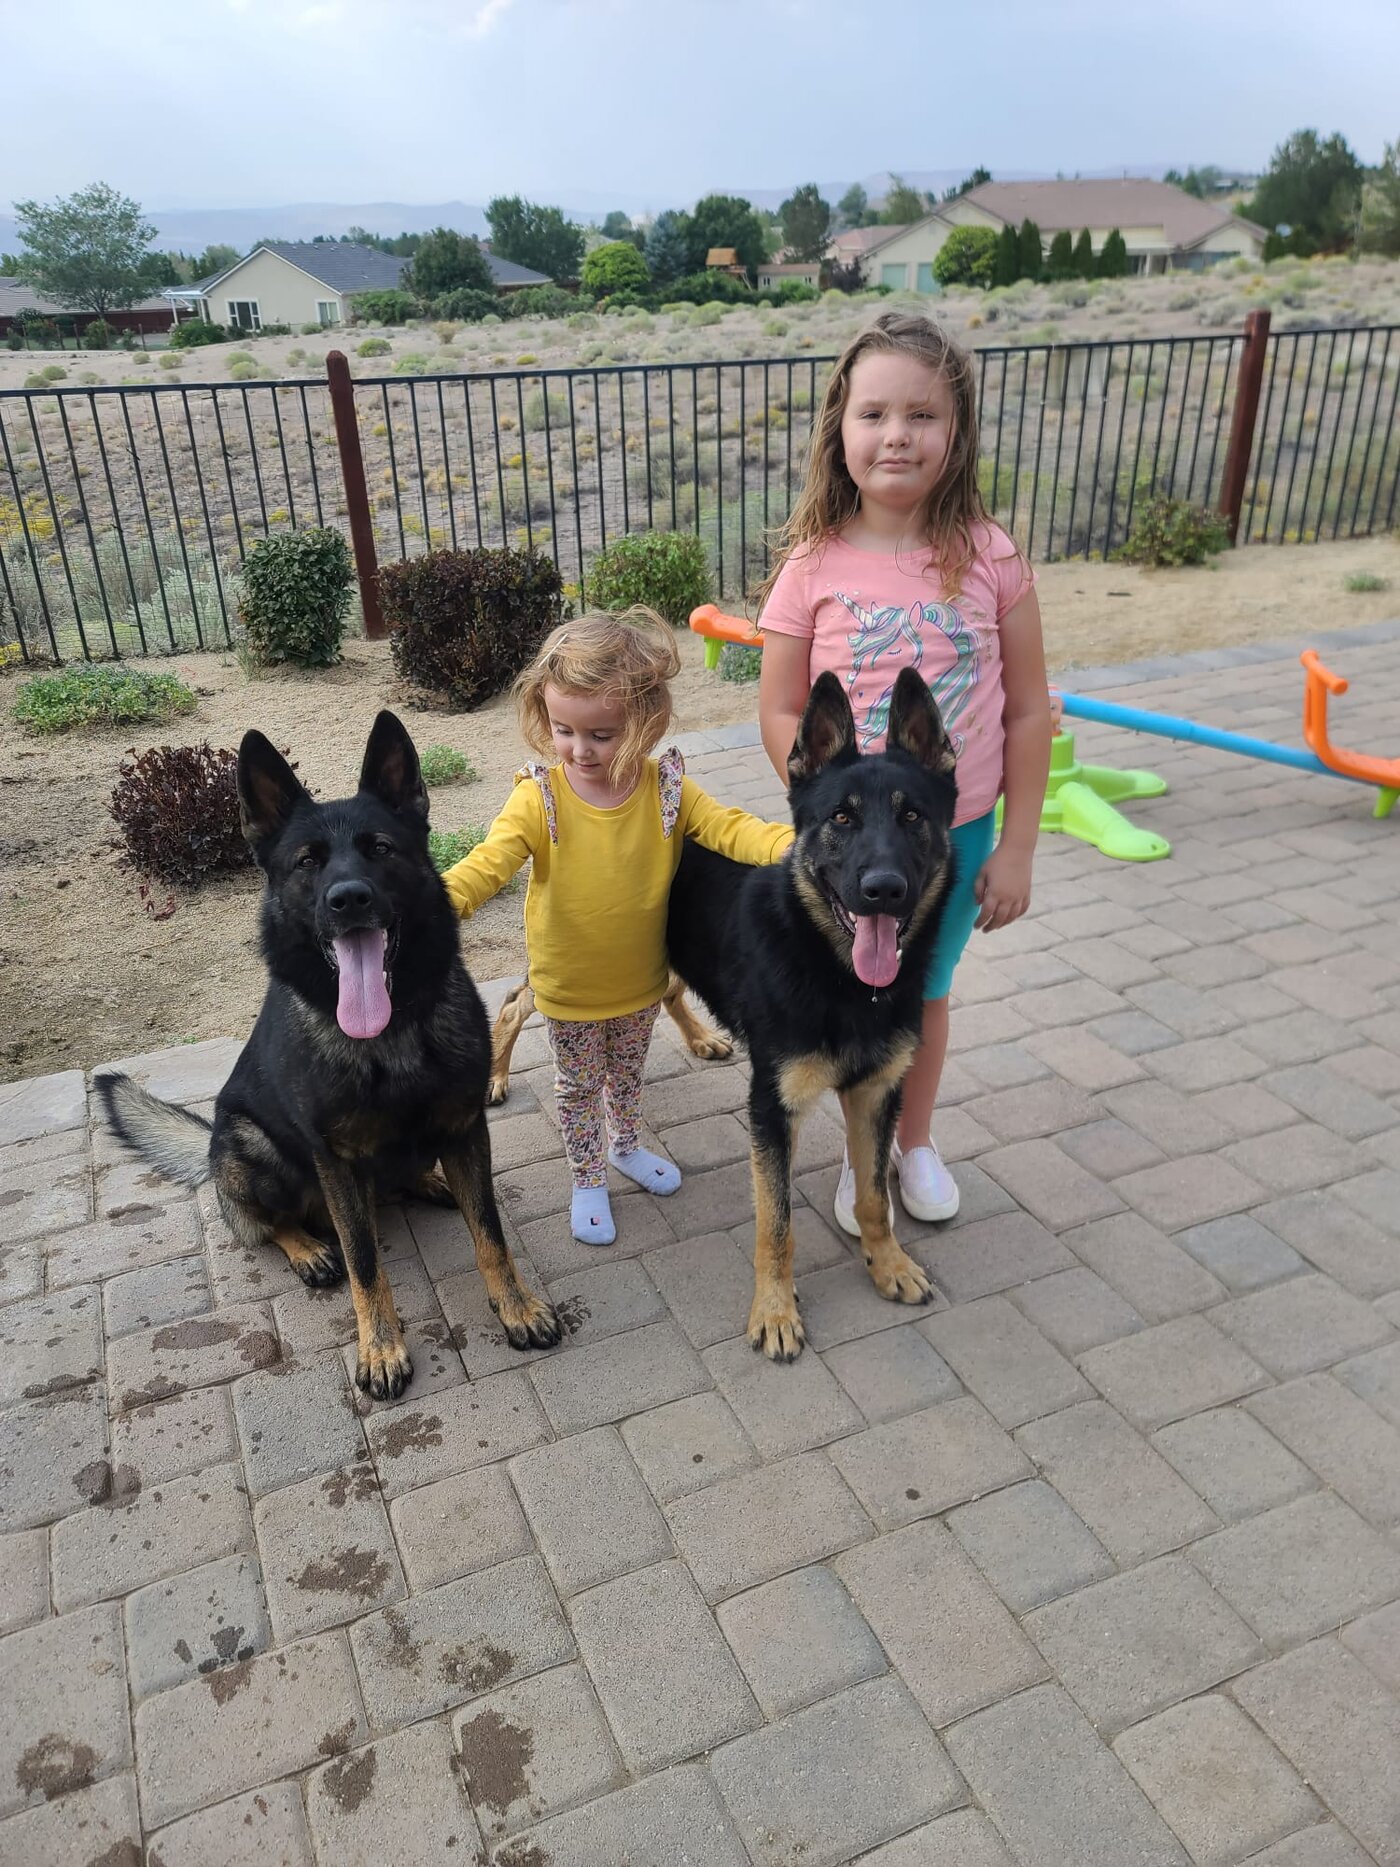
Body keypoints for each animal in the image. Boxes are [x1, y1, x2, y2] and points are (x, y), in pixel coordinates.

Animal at [97, 711, 560, 1401]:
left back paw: (428, 1181)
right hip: (252, 1147)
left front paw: (516, 1307)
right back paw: (307, 1247)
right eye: (307, 862)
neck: (389, 1037)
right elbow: (366, 1264)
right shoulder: (335, 1161)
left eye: (381, 848)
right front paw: (381, 1347)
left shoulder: (465, 1127)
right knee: (260, 1221)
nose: (349, 899)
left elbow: (491, 1235)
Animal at [666, 667, 958, 1361]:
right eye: (841, 817)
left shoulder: (877, 1094)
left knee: (667, 992)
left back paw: (700, 1038)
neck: (840, 979)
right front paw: (774, 1310)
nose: (884, 890)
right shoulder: (773, 1110)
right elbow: (776, 1223)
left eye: (913, 815)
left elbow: (875, 1196)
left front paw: (888, 1264)